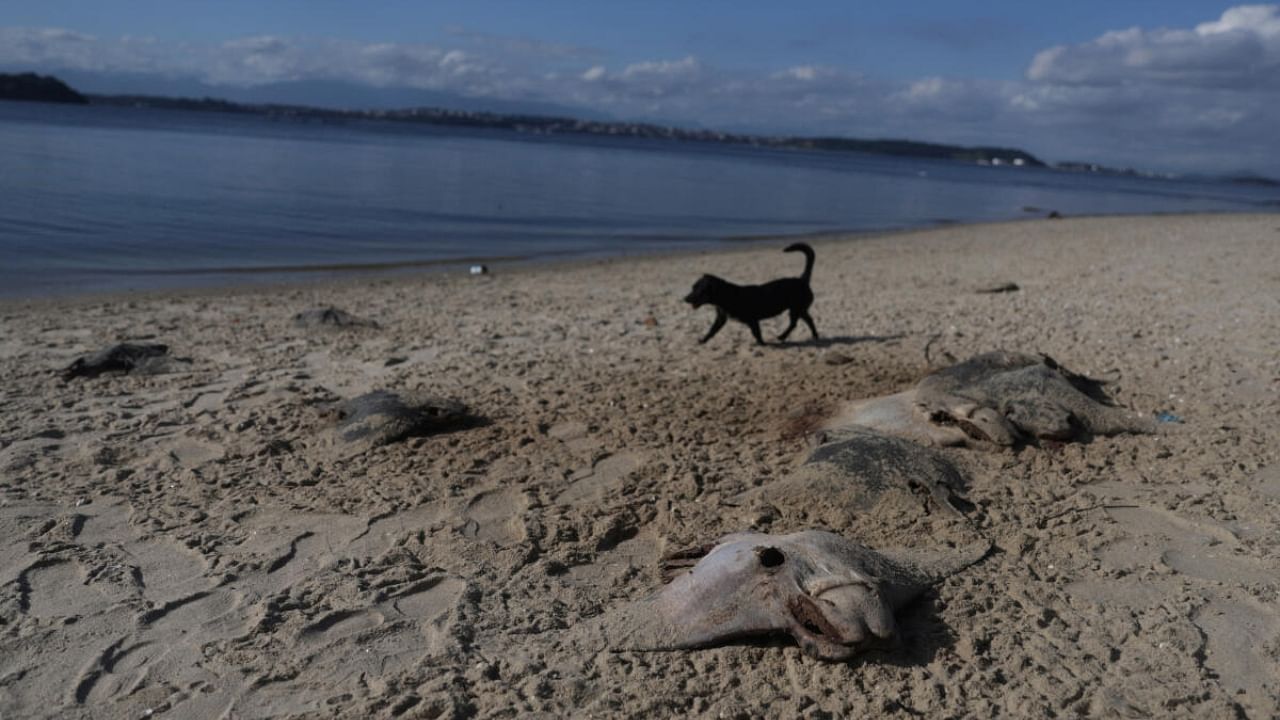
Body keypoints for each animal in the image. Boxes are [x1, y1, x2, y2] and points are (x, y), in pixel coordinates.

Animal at [680, 240, 819, 345]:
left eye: (699, 290)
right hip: (801, 309)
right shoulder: (721, 319)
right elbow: (712, 330)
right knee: (809, 320)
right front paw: (703, 340)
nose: (685, 299)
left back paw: (782, 336)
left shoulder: (752, 319)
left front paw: (762, 344)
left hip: (796, 309)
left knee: (794, 324)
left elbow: (756, 332)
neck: (727, 295)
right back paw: (815, 336)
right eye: (692, 287)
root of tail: (802, 279)